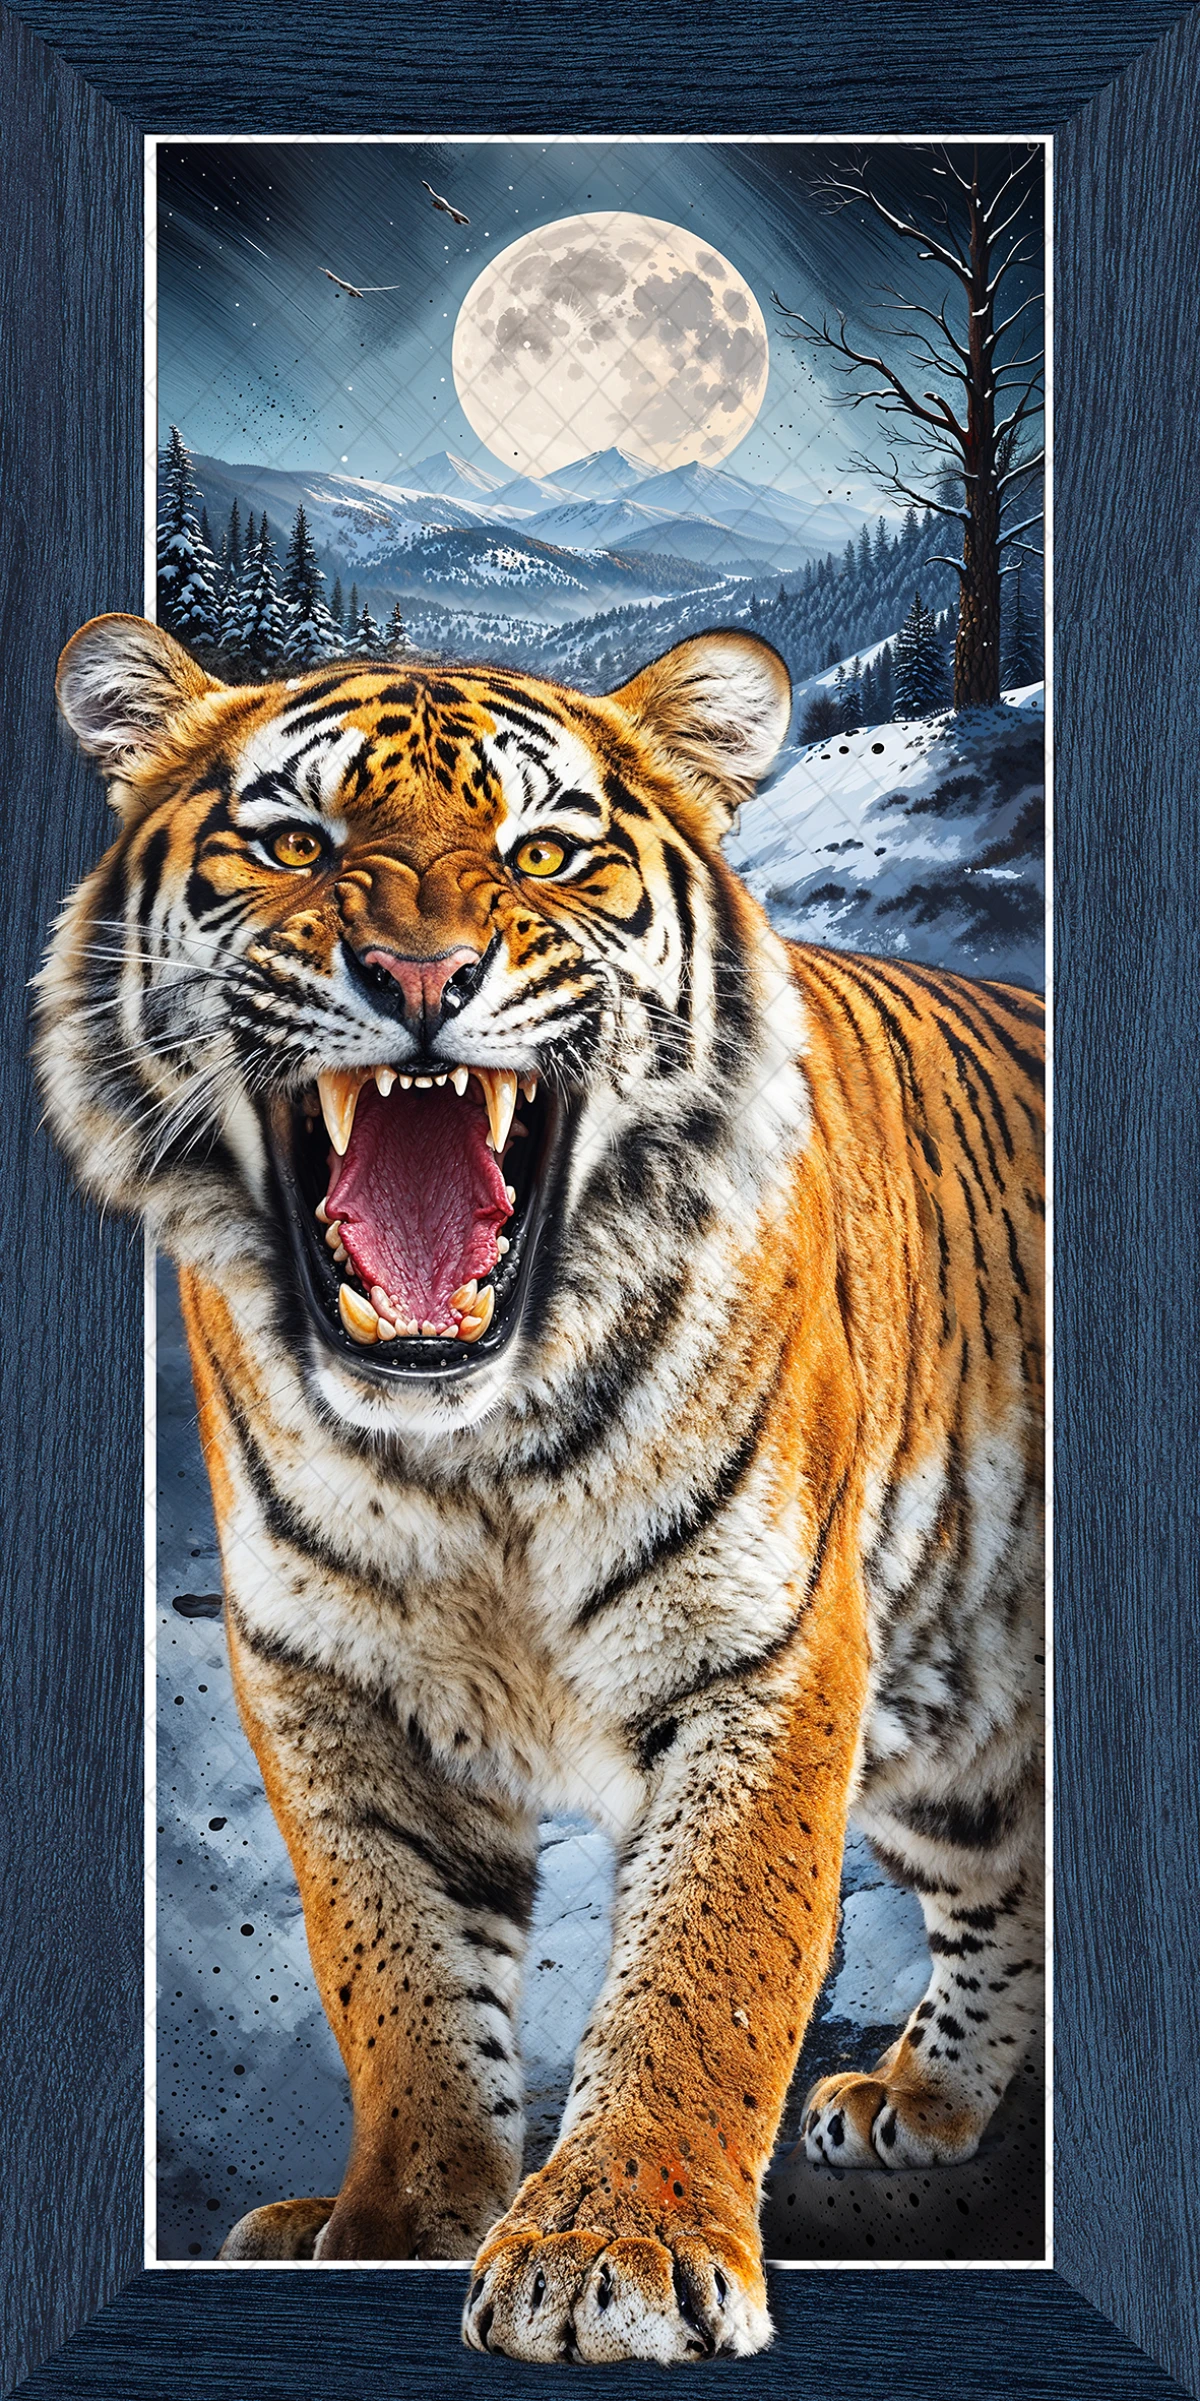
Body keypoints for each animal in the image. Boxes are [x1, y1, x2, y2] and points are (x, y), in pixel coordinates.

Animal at [37, 612, 1044, 2363]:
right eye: (296, 845)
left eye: (545, 855)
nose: (421, 981)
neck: (470, 1450)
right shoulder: (328, 1676)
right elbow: (400, 1978)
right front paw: (396, 2224)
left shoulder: (765, 1654)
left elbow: (709, 1963)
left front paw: (616, 2246)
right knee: (1002, 1886)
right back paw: (918, 2097)